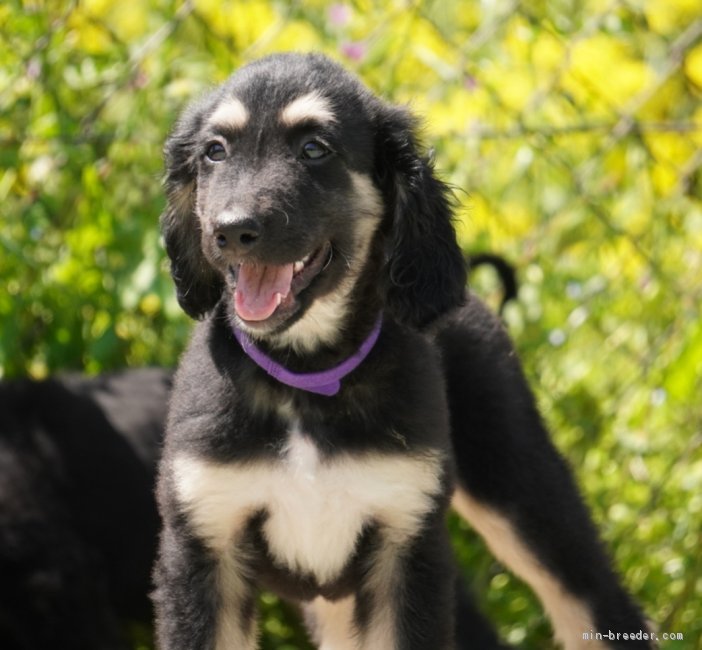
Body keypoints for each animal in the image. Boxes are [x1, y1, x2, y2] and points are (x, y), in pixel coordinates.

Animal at [154, 53, 656, 644]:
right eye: (215, 151)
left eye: (314, 149)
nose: (232, 231)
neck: (307, 377)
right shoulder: (205, 544)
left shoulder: (406, 543)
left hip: (519, 481)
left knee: (595, 602)